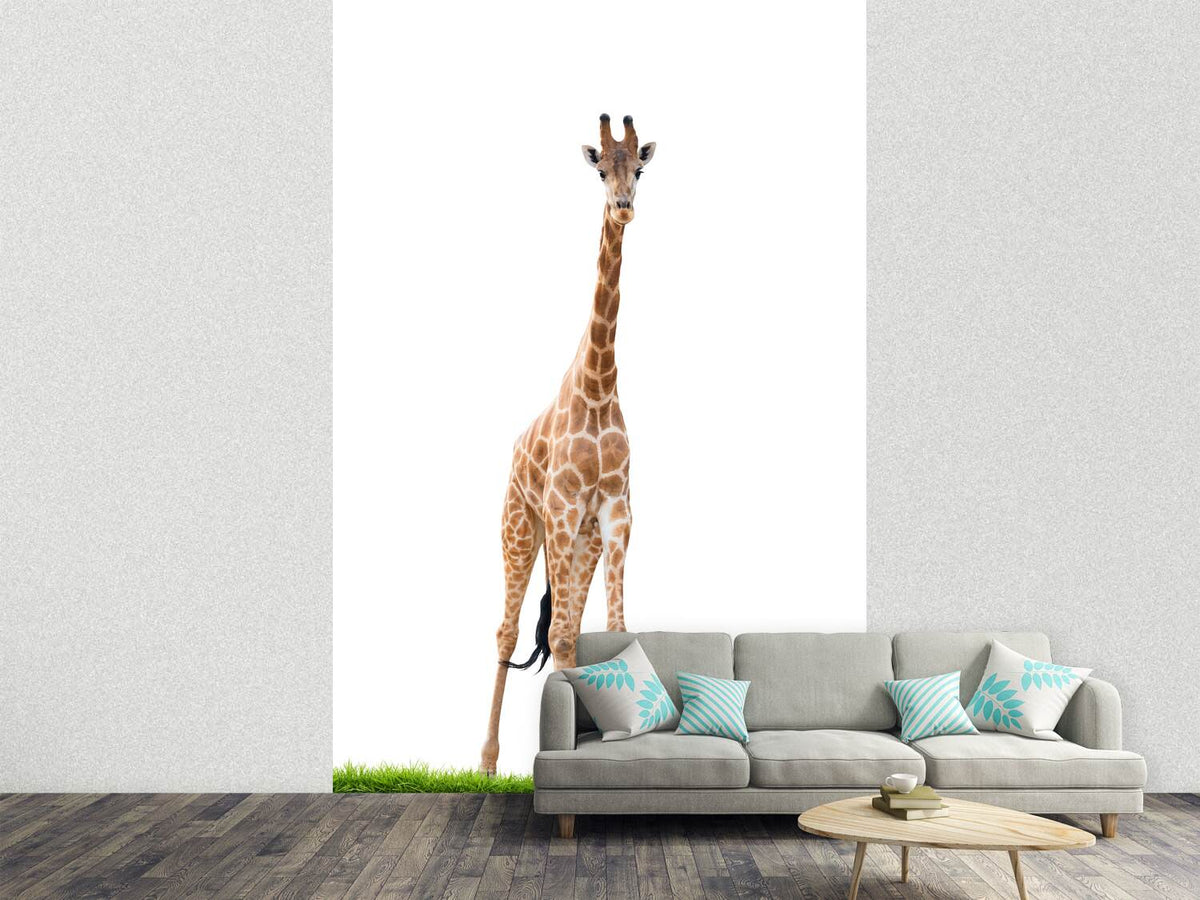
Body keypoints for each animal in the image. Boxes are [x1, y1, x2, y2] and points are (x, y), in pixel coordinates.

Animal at [480, 114, 656, 774]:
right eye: (600, 169)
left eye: (640, 169)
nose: (624, 207)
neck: (599, 386)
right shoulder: (559, 509)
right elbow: (552, 636)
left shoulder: (614, 514)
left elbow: (610, 626)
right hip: (520, 526)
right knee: (509, 632)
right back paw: (486, 762)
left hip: (579, 542)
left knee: (571, 632)